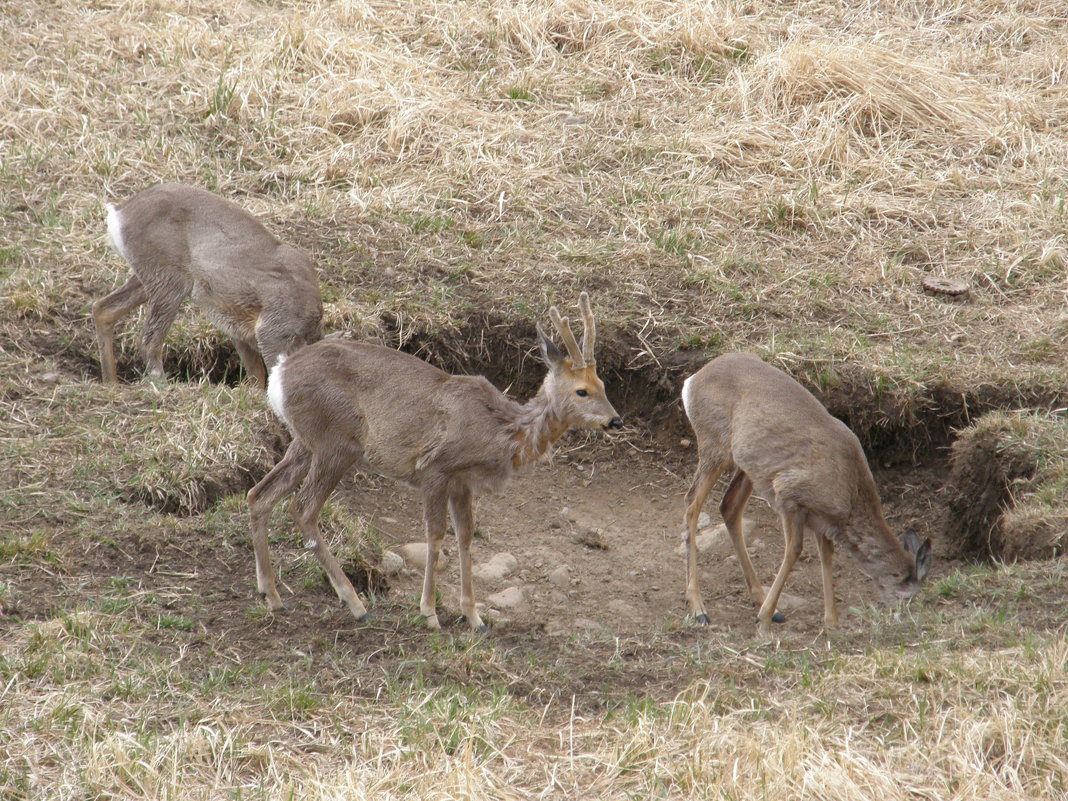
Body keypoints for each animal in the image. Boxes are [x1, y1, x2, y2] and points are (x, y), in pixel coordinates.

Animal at [94, 185, 320, 393]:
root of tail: (119, 212)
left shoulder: (241, 334)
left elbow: (255, 378)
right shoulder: (272, 330)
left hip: (148, 276)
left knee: (103, 308)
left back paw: (111, 383)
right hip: (170, 280)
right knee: (147, 339)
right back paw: (162, 385)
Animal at [247, 292, 623, 632]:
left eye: (603, 384)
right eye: (581, 391)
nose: (616, 421)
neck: (500, 431)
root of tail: (278, 373)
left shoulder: (463, 482)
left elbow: (466, 536)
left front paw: (474, 617)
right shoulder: (435, 469)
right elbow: (435, 535)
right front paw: (429, 613)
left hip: (304, 443)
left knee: (259, 495)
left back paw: (272, 595)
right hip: (335, 444)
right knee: (302, 508)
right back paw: (354, 604)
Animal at [683, 354, 927, 636]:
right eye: (910, 595)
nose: (903, 618)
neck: (851, 491)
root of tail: (692, 381)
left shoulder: (821, 520)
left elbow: (826, 553)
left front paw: (831, 622)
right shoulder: (789, 497)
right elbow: (794, 551)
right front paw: (763, 621)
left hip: (748, 467)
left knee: (729, 506)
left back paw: (761, 601)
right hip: (715, 447)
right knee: (692, 505)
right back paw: (699, 608)